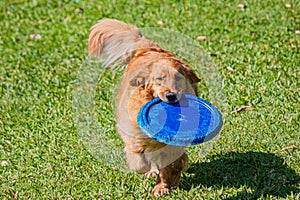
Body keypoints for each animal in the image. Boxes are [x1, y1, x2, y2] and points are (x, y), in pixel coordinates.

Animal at [88, 18, 200, 197]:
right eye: (159, 79)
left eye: (178, 78)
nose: (171, 95)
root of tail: (148, 48)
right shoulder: (133, 139)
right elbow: (139, 161)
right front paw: (154, 174)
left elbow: (171, 165)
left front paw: (164, 185)